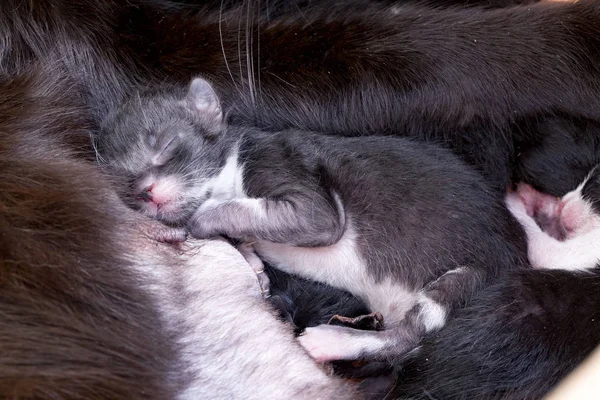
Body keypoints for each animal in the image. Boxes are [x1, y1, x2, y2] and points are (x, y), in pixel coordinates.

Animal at [96, 77, 528, 366]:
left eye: (168, 145)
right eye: (125, 183)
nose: (147, 192)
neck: (230, 168)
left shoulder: (301, 194)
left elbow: (232, 210)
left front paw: (208, 223)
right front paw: (252, 263)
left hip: (464, 280)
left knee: (409, 336)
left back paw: (328, 341)